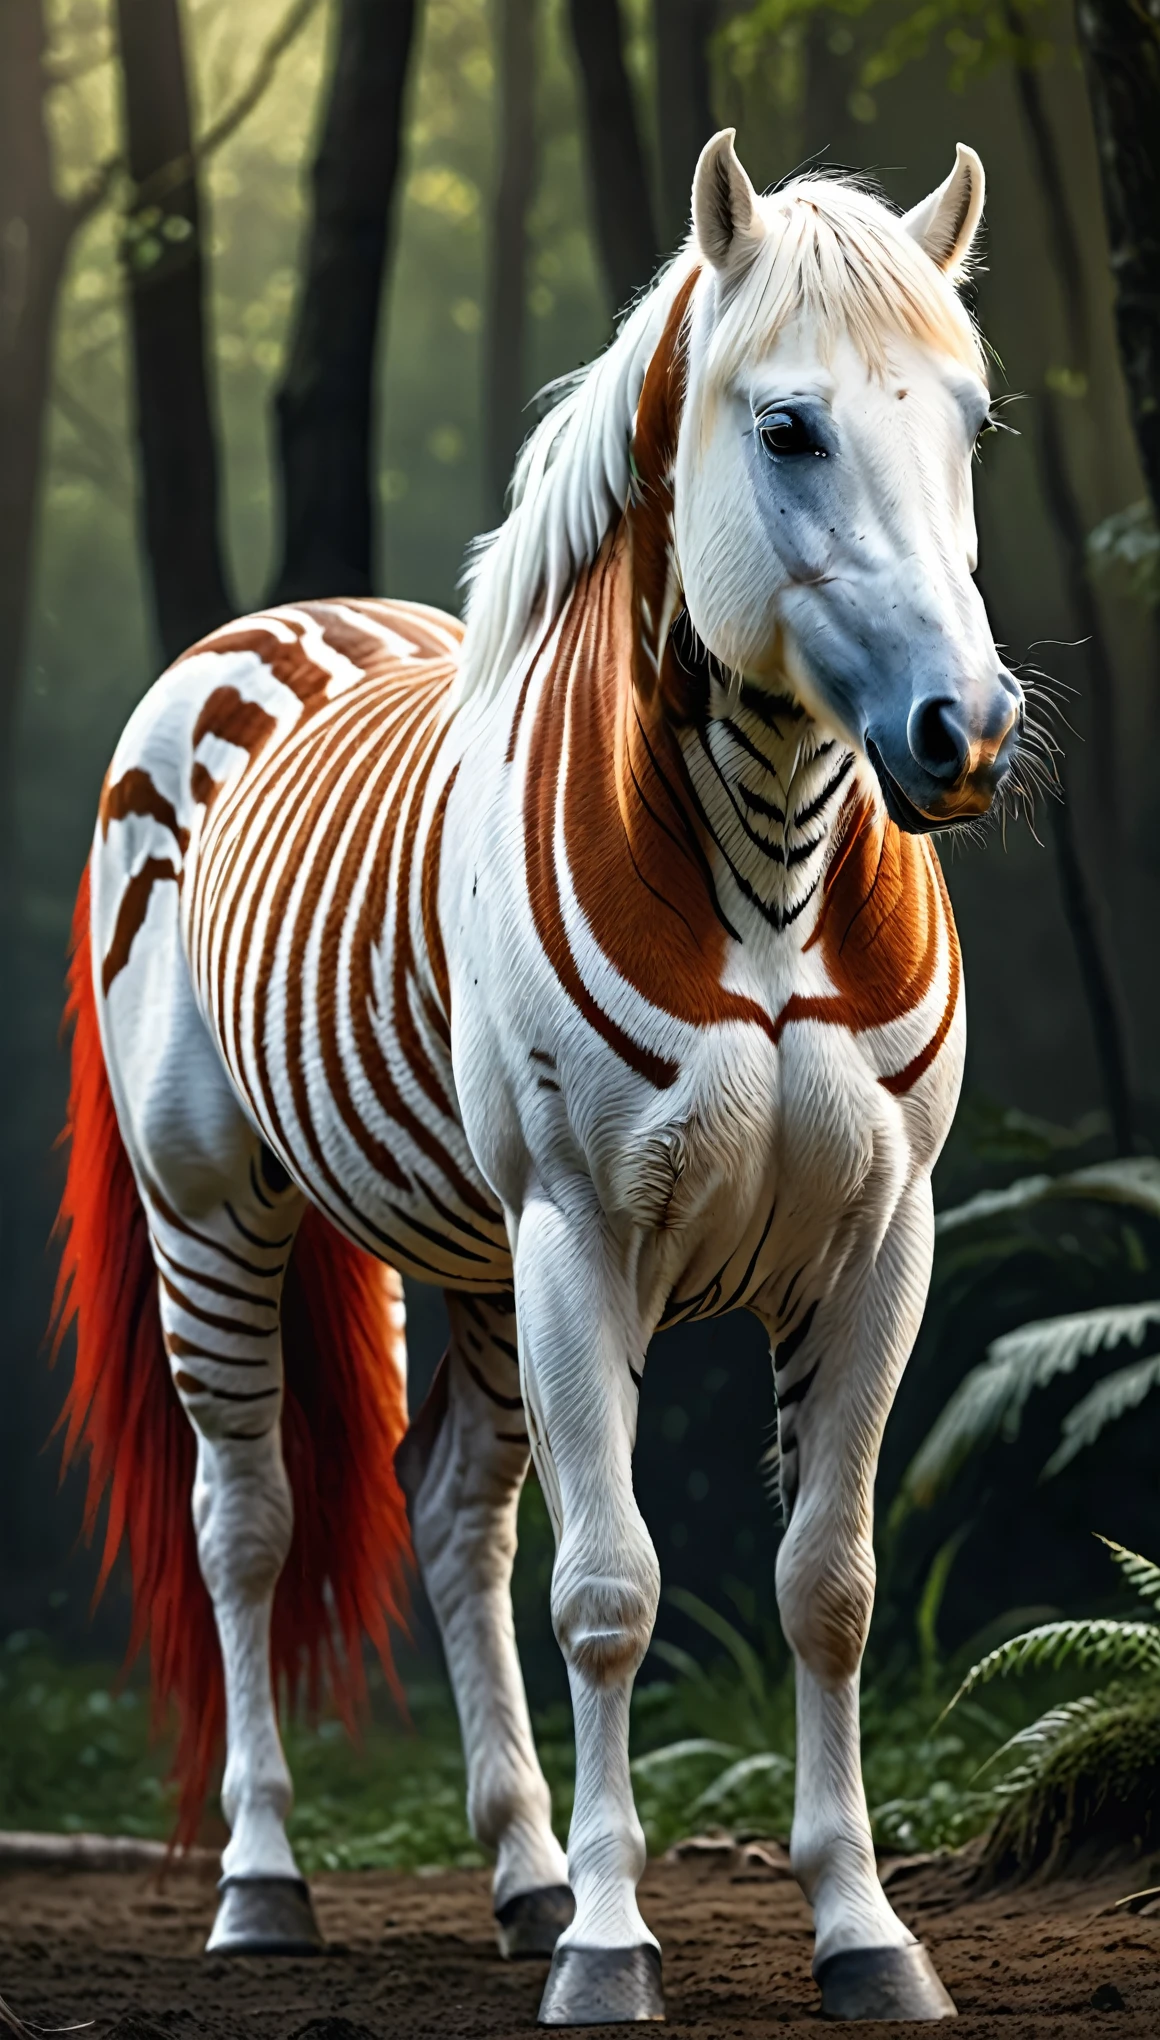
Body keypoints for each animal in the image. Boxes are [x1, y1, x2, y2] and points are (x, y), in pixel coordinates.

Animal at [53, 129, 1023, 2023]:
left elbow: (829, 1586)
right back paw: (267, 1882)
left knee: (450, 1513)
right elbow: (610, 1593)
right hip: (218, 1209)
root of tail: (284, 621)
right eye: (787, 430)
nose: (969, 736)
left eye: (970, 426)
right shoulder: (584, 1229)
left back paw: (517, 1868)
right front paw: (612, 1947)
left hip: (472, 1249)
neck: (776, 871)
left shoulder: (882, 1237)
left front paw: (860, 1930)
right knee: (247, 1522)